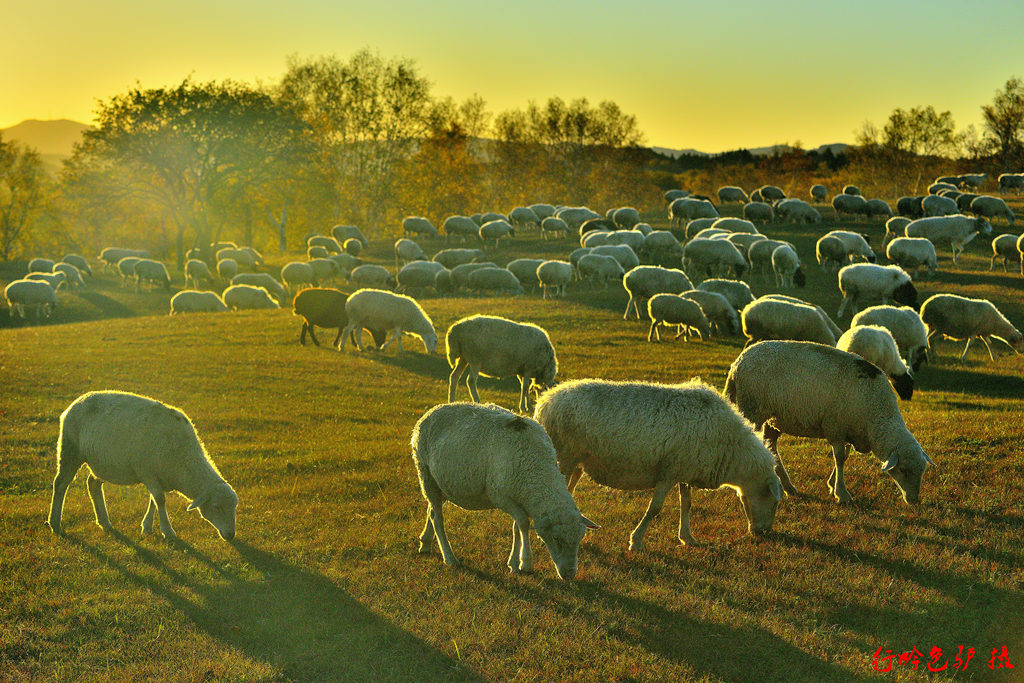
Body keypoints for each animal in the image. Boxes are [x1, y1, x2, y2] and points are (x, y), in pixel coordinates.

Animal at [48, 389, 240, 540]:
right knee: (61, 483)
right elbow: (160, 500)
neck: (183, 460)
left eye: (234, 507)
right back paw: (55, 523)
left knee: (93, 484)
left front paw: (147, 527)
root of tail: (76, 402)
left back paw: (104, 522)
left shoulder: (157, 476)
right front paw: (168, 531)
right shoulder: (146, 471)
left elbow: (154, 500)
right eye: (217, 507)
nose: (231, 535)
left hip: (101, 461)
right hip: (70, 448)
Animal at [411, 403, 598, 581]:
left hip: (439, 484)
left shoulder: (521, 497)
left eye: (580, 539)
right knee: (437, 518)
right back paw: (449, 558)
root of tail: (431, 412)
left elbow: (517, 527)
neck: (536, 469)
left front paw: (514, 563)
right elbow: (523, 523)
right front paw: (525, 563)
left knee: (431, 510)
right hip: (425, 473)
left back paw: (425, 544)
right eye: (557, 539)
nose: (570, 575)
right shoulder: (500, 497)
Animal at [536, 378, 782, 548]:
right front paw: (636, 541)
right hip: (564, 455)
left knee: (567, 491)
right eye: (775, 503)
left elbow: (686, 503)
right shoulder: (669, 471)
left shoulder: (685, 468)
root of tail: (545, 401)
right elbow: (655, 508)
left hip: (576, 461)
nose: (763, 533)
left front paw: (687, 537)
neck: (730, 449)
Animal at [724, 339, 933, 505]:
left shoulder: (847, 429)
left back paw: (788, 487)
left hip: (773, 418)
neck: (875, 416)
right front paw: (842, 493)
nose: (913, 500)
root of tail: (737, 363)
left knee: (771, 446)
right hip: (751, 408)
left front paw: (833, 485)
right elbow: (839, 458)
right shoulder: (835, 426)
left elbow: (844, 456)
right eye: (904, 470)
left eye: (922, 471)